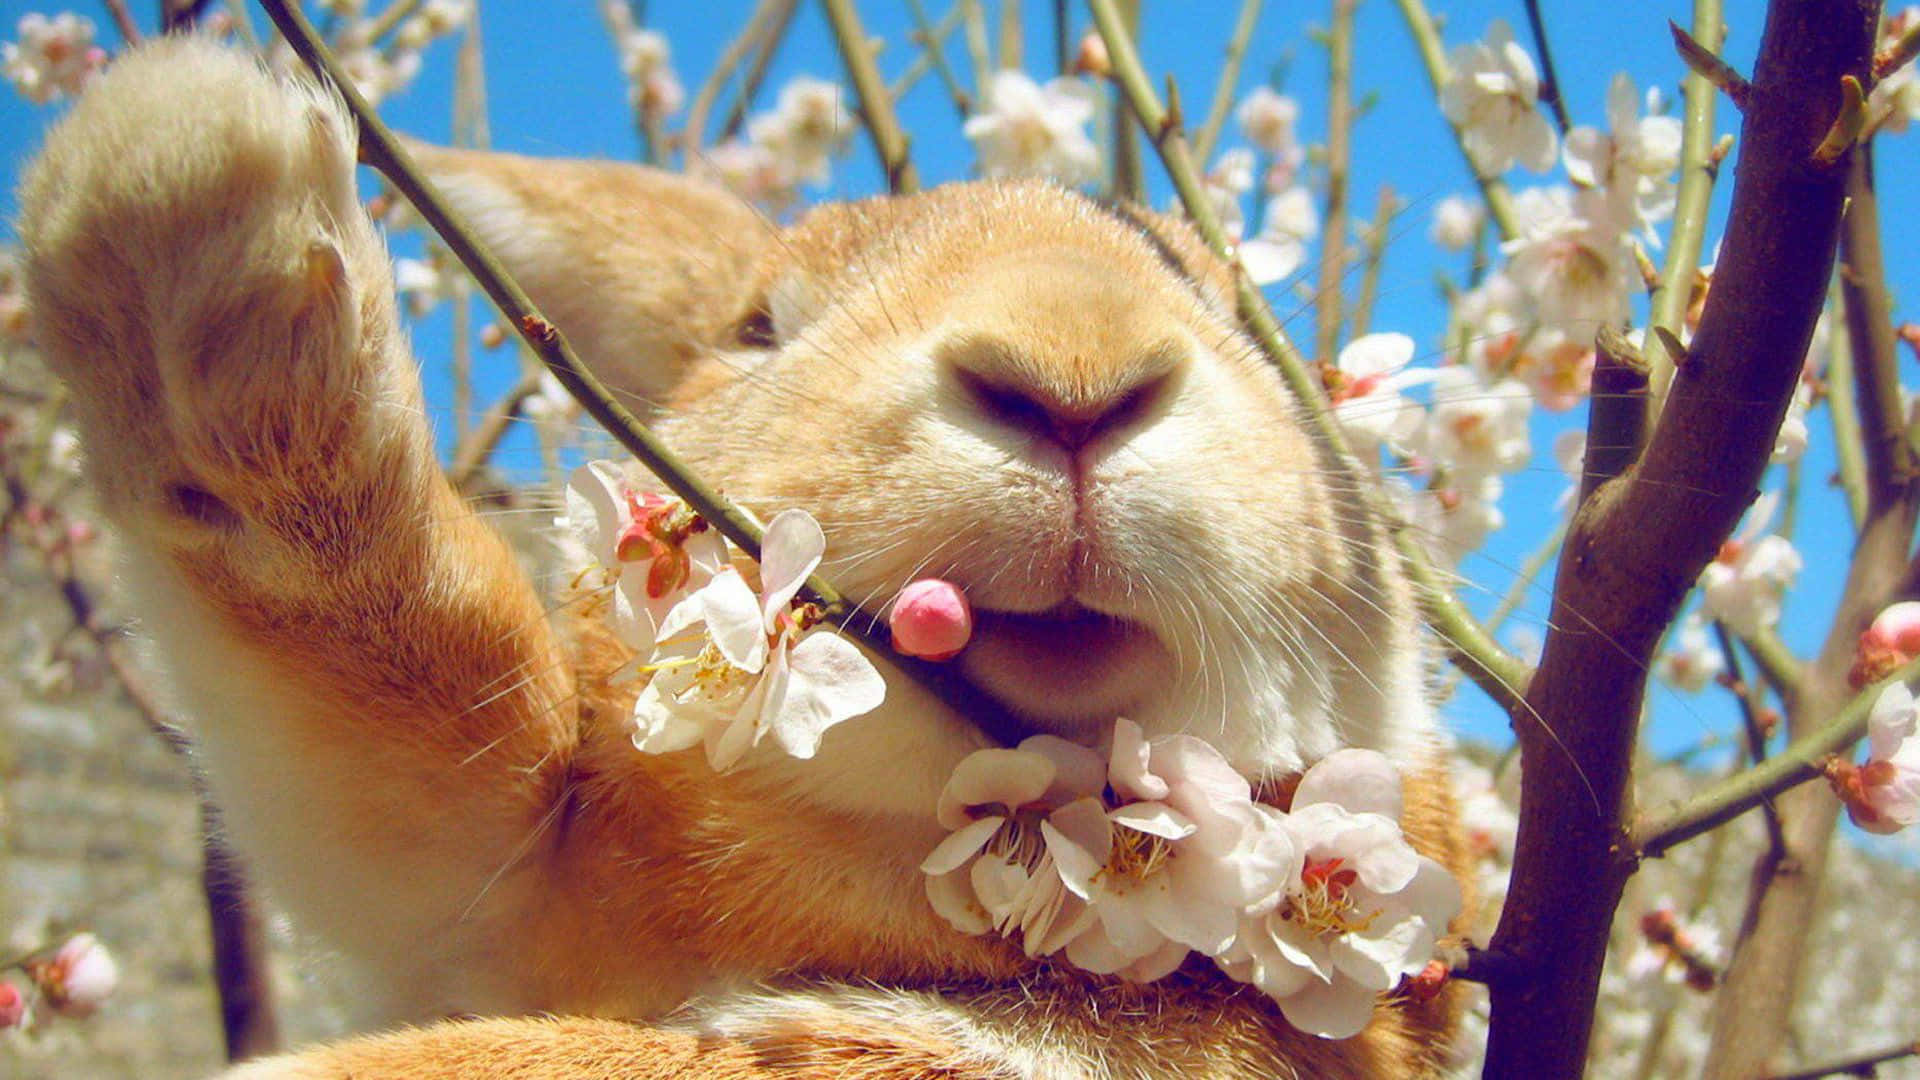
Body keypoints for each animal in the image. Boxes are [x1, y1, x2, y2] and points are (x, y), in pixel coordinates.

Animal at [20, 36, 1470, 1079]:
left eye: (1250, 328)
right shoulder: (490, 876)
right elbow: (422, 696)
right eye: (759, 329)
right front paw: (183, 190)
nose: (1073, 369)